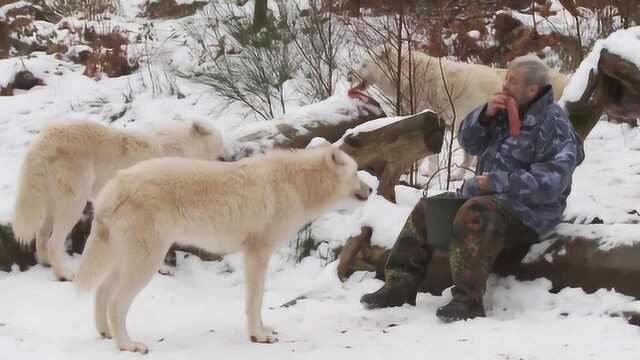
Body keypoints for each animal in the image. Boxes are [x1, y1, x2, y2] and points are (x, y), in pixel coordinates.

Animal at [10, 119, 226, 280]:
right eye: (222, 142)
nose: (230, 155)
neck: (180, 150)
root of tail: (42, 139)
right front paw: (162, 269)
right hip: (74, 204)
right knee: (53, 242)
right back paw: (65, 275)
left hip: (53, 205)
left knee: (41, 234)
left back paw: (45, 263)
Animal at [74, 146, 370, 354]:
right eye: (356, 172)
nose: (371, 188)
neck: (297, 184)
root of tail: (113, 188)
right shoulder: (258, 253)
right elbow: (255, 301)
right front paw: (257, 336)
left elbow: (257, 304)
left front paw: (262, 330)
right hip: (146, 262)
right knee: (116, 302)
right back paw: (127, 345)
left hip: (127, 260)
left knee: (101, 291)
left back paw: (106, 333)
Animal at [352, 48, 568, 180]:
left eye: (364, 64)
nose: (351, 73)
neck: (411, 74)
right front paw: (412, 169)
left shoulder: (435, 111)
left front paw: (428, 172)